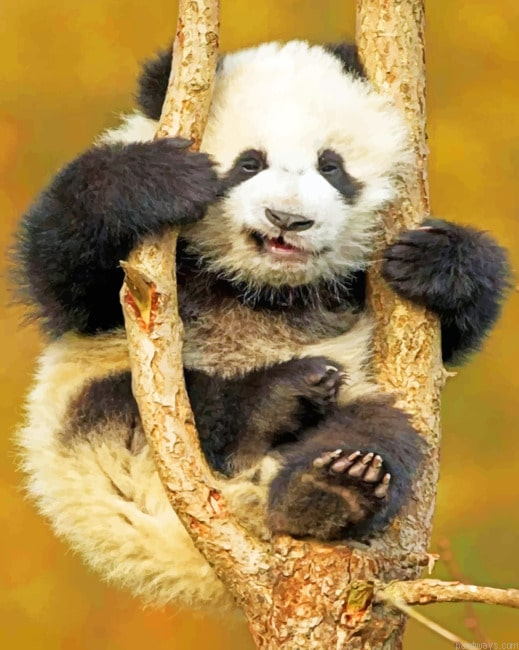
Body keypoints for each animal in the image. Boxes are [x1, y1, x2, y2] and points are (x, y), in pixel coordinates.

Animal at [14, 40, 510, 611]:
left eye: (331, 167)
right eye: (249, 163)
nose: (287, 219)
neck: (263, 287)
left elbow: (453, 331)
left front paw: (439, 262)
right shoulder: (132, 288)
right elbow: (59, 274)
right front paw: (155, 179)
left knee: (380, 430)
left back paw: (328, 488)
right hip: (90, 442)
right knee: (154, 401)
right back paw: (277, 400)